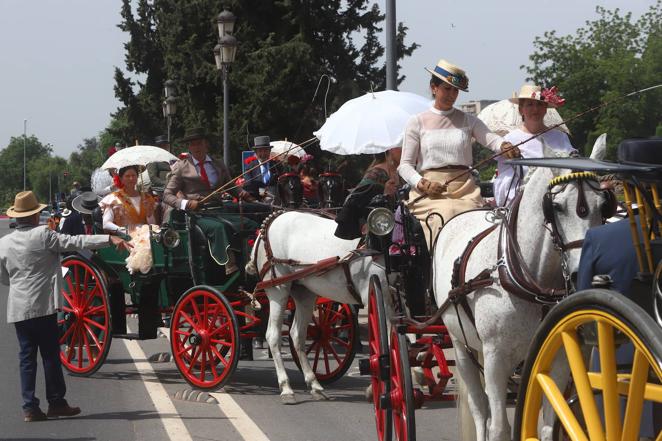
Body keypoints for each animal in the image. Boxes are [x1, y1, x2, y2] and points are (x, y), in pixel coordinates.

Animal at [246, 211, 386, 404]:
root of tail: (270, 221)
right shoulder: (375, 294)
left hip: (304, 292)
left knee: (297, 335)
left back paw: (314, 384)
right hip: (278, 289)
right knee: (273, 335)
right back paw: (286, 387)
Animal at [436, 166, 612, 440]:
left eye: (604, 205)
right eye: (556, 206)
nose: (582, 274)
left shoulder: (558, 355)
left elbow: (551, 424)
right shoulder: (495, 357)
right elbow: (498, 428)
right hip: (461, 344)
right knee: (479, 408)